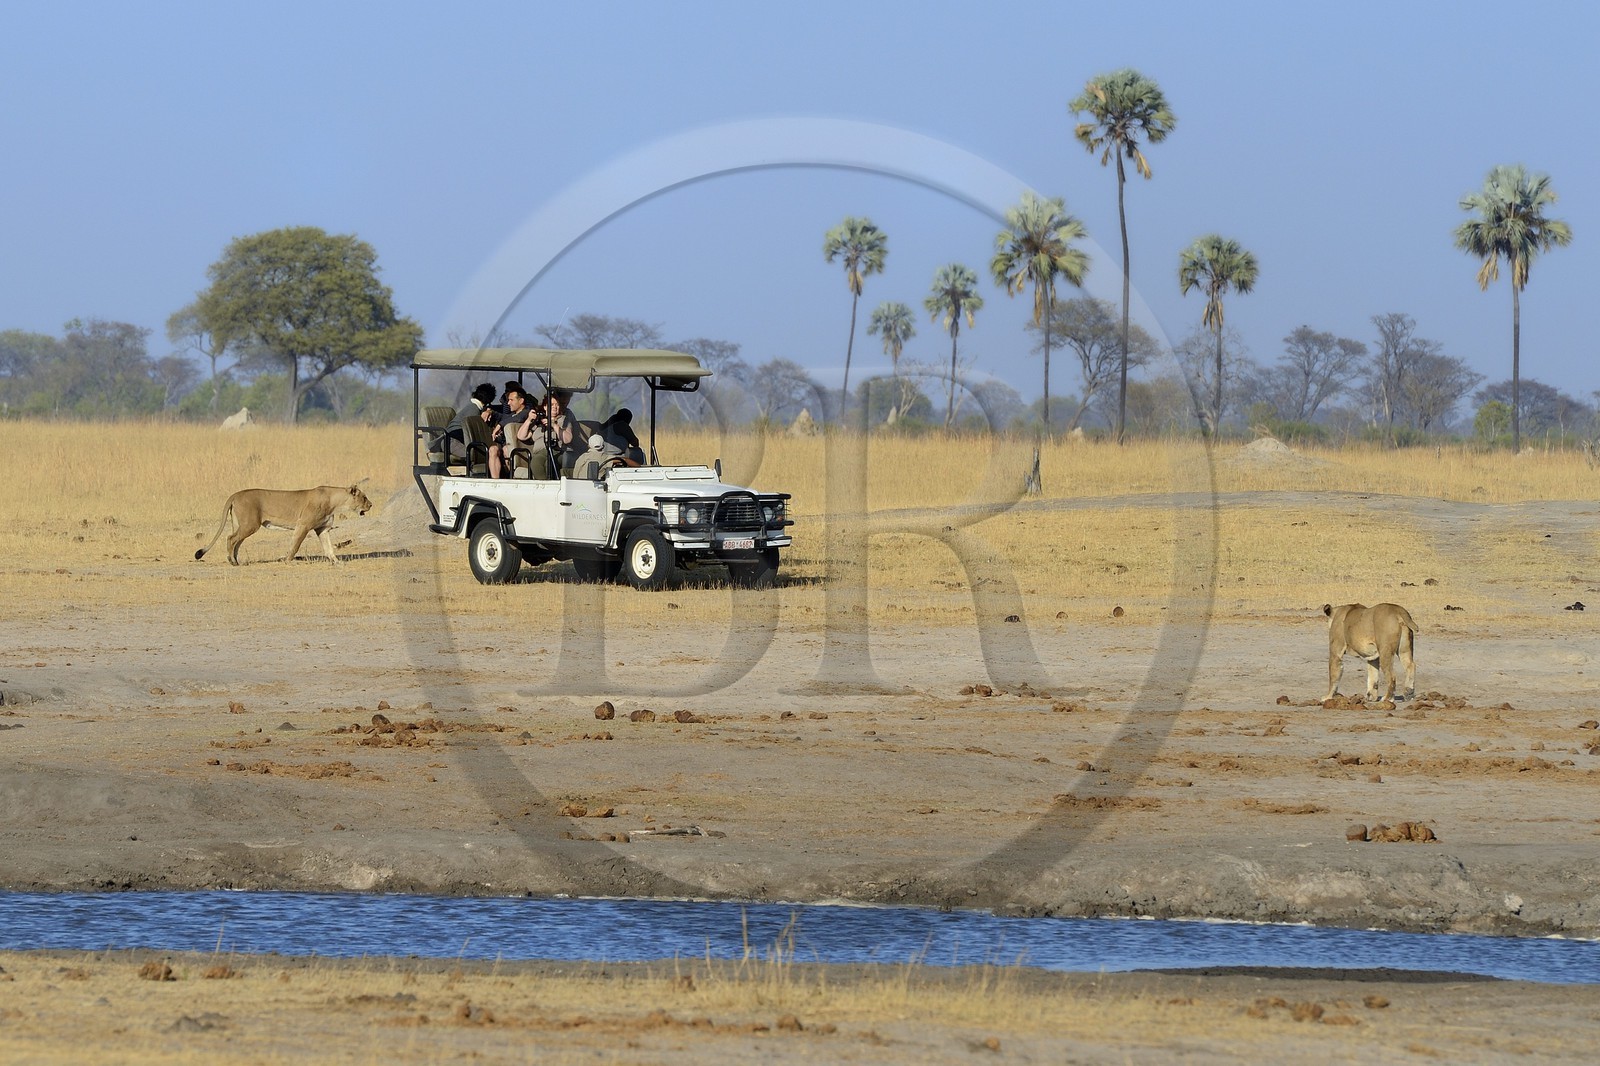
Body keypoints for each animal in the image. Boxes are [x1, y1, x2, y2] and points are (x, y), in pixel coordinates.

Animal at [194, 485, 372, 566]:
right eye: (364, 497)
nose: (371, 505)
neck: (335, 502)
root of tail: (235, 494)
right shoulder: (303, 525)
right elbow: (295, 545)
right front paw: (287, 560)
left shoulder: (322, 529)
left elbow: (329, 548)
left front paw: (336, 561)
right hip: (250, 524)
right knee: (231, 539)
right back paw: (232, 562)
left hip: (243, 524)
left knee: (236, 542)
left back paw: (236, 560)